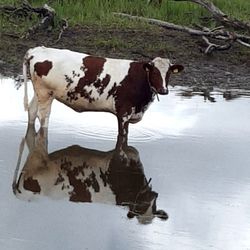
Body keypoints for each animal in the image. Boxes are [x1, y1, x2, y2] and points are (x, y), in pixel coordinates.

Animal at [13, 126, 168, 224]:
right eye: (140, 208)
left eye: (154, 208)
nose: (154, 195)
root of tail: (18, 193)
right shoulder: (119, 155)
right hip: (36, 157)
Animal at [22, 46, 184, 151]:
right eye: (154, 72)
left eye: (169, 73)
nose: (163, 90)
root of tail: (37, 50)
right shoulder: (123, 112)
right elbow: (123, 136)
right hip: (46, 93)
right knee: (43, 117)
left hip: (39, 93)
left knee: (32, 111)